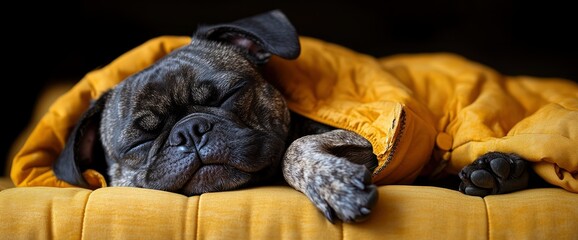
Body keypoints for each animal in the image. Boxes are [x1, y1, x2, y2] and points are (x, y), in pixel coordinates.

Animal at [55, 9, 532, 223]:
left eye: (230, 94)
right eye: (140, 140)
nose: (190, 131)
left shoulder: (362, 139)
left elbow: (293, 150)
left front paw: (334, 185)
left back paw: (496, 172)